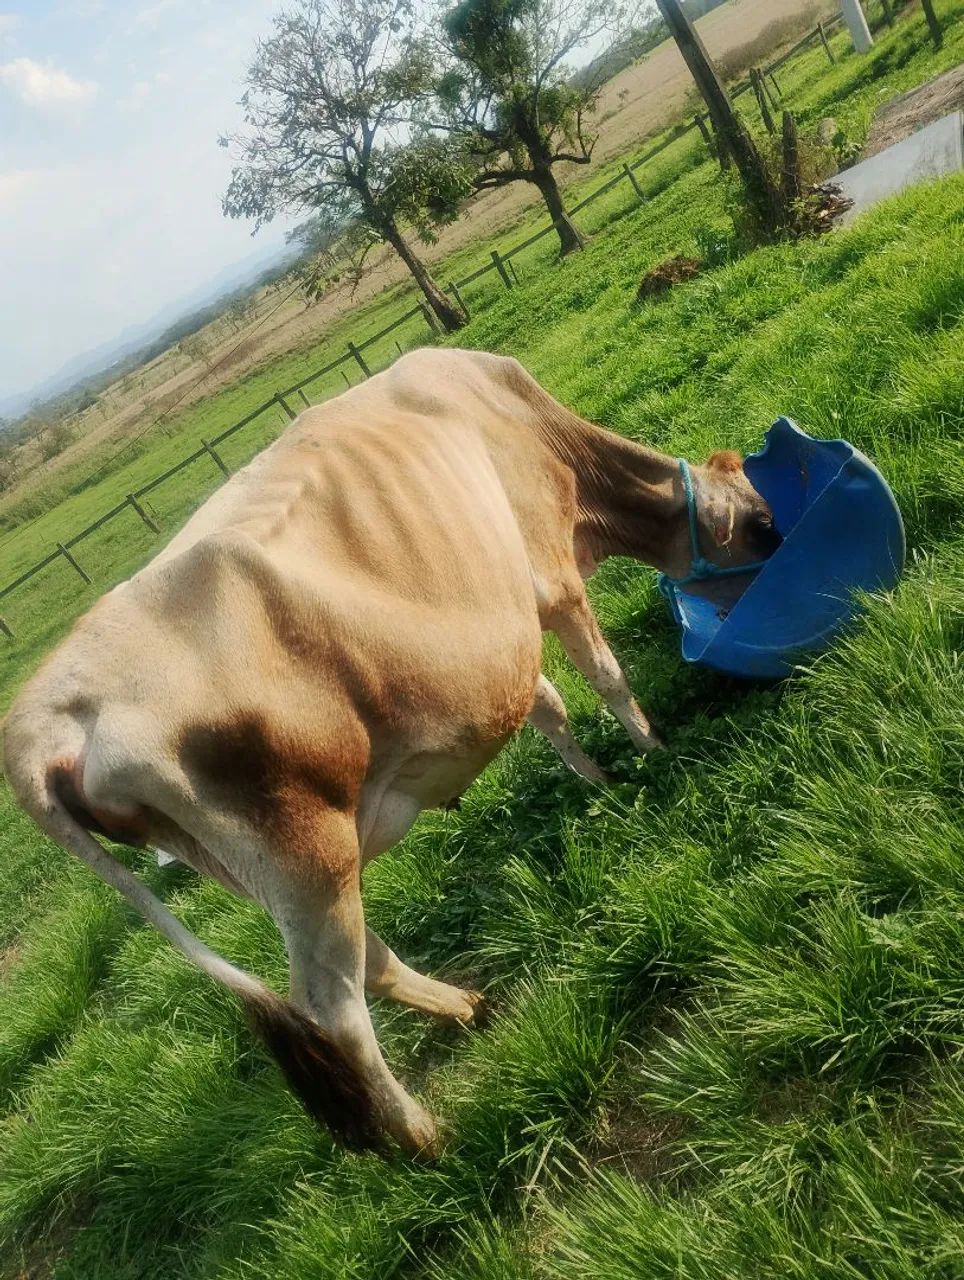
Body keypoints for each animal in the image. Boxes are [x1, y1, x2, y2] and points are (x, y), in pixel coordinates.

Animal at [2, 348, 779, 1156]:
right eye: (764, 526)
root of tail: (42, 715)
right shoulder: (550, 576)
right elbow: (605, 676)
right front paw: (654, 752)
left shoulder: (497, 638)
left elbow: (546, 705)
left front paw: (596, 780)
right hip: (307, 856)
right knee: (334, 1008)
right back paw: (423, 1136)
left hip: (266, 875)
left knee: (364, 965)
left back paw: (463, 1006)